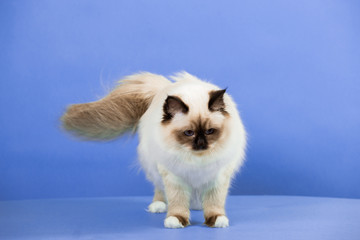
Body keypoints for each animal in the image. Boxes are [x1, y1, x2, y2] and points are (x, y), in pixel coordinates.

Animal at [62, 71, 248, 229]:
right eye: (189, 133)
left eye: (210, 131)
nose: (201, 143)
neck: (197, 160)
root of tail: (164, 88)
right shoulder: (174, 177)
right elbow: (177, 202)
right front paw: (176, 220)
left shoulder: (217, 178)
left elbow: (214, 203)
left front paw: (217, 220)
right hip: (154, 168)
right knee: (160, 189)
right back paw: (159, 206)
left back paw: (196, 206)